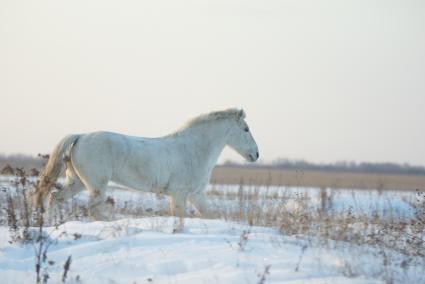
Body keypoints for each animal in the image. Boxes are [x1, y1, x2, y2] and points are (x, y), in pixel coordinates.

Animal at [33, 107, 258, 230]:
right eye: (246, 129)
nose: (256, 155)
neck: (193, 149)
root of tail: (79, 136)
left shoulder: (196, 195)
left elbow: (209, 215)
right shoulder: (179, 195)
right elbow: (180, 218)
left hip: (77, 182)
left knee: (55, 198)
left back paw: (51, 224)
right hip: (96, 186)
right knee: (94, 210)